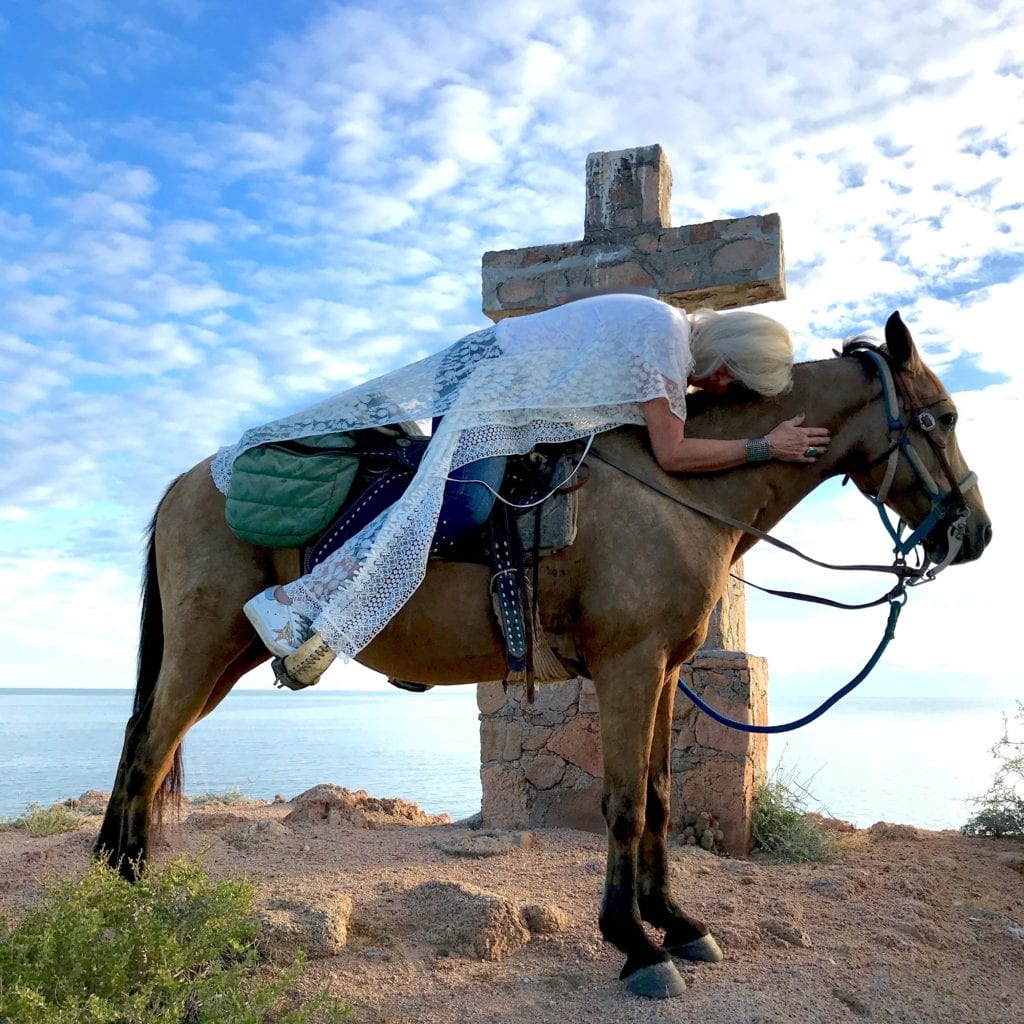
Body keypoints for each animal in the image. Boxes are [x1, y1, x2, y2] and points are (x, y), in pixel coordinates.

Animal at [96, 313, 991, 999]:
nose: (975, 532)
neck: (677, 491)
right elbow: (624, 804)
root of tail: (184, 484)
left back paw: (115, 873)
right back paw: (127, 894)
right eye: (941, 417)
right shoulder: (629, 668)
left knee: (144, 741)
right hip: (207, 644)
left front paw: (678, 924)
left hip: (225, 655)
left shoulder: (666, 671)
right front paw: (635, 945)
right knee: (149, 750)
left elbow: (659, 798)